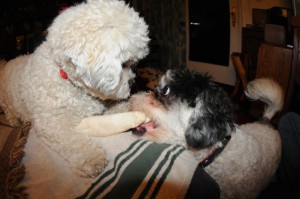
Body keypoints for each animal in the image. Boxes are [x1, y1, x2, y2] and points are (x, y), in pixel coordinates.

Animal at [0, 0, 149, 177]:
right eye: (124, 64)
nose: (133, 82)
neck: (68, 80)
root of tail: (6, 65)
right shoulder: (51, 122)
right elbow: (71, 139)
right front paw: (91, 158)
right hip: (8, 102)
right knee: (9, 112)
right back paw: (15, 121)